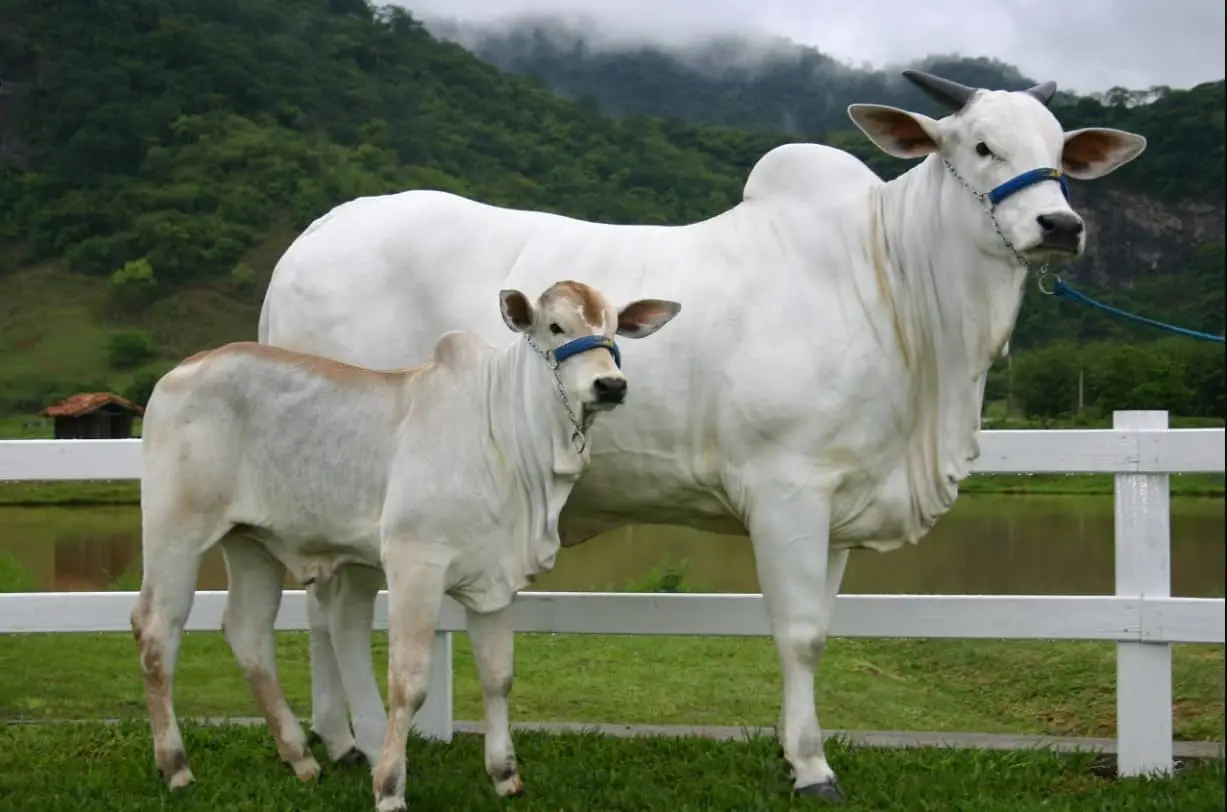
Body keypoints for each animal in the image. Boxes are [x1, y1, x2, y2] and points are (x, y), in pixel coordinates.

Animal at [129, 280, 682, 811]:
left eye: (613, 328)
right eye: (555, 326)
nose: (610, 384)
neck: (506, 438)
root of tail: (183, 370)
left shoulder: (498, 579)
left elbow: (498, 676)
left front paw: (505, 775)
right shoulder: (415, 563)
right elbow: (409, 681)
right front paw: (390, 787)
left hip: (252, 542)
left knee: (248, 631)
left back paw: (300, 758)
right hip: (175, 530)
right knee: (157, 627)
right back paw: (175, 765)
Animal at [256, 70, 1147, 801]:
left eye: (1059, 154)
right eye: (981, 145)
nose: (1058, 224)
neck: (893, 283)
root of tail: (312, 239)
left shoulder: (838, 502)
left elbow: (819, 628)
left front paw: (795, 752)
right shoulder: (788, 489)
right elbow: (797, 634)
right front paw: (812, 767)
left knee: (329, 607)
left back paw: (338, 739)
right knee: (338, 610)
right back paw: (355, 739)